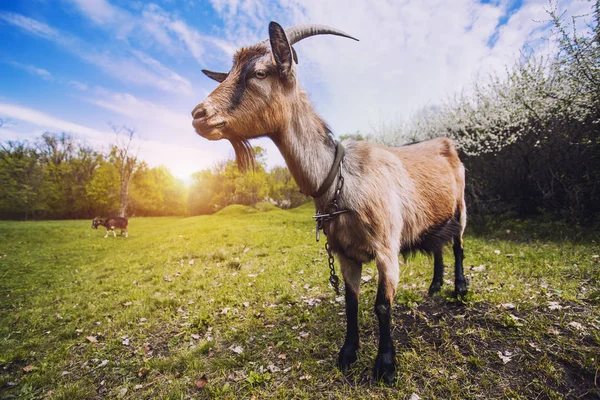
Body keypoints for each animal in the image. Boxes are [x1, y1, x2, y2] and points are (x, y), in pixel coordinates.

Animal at [190, 21, 466, 384]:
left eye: (260, 72)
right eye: (228, 74)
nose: (198, 114)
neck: (340, 179)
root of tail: (446, 143)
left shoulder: (386, 249)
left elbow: (382, 305)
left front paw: (385, 365)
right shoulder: (345, 253)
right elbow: (350, 302)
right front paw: (347, 355)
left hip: (462, 207)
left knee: (458, 245)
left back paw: (459, 289)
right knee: (437, 246)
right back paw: (434, 286)